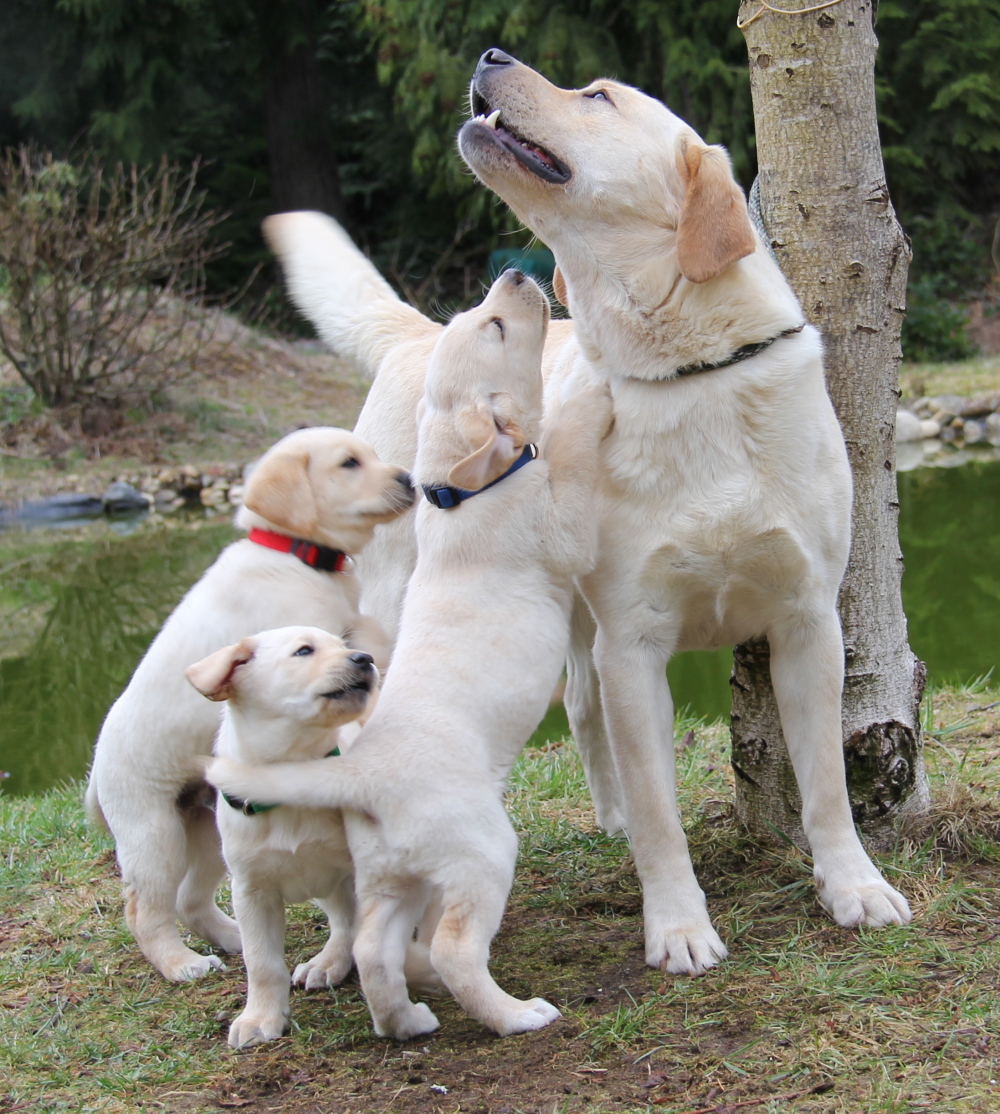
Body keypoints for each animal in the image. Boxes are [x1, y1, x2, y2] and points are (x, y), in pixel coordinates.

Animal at [184, 632, 376, 1047]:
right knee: (341, 918)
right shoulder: (251, 891)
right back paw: (328, 962)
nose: (365, 658)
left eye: (342, 645)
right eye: (304, 651)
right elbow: (261, 961)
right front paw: (260, 1018)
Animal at [207, 274, 610, 1038]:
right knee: (453, 951)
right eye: (495, 328)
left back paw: (406, 1021)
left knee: (372, 948)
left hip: (389, 875)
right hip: (483, 853)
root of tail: (363, 775)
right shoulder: (564, 530)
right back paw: (517, 1015)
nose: (516, 276)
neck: (460, 490)